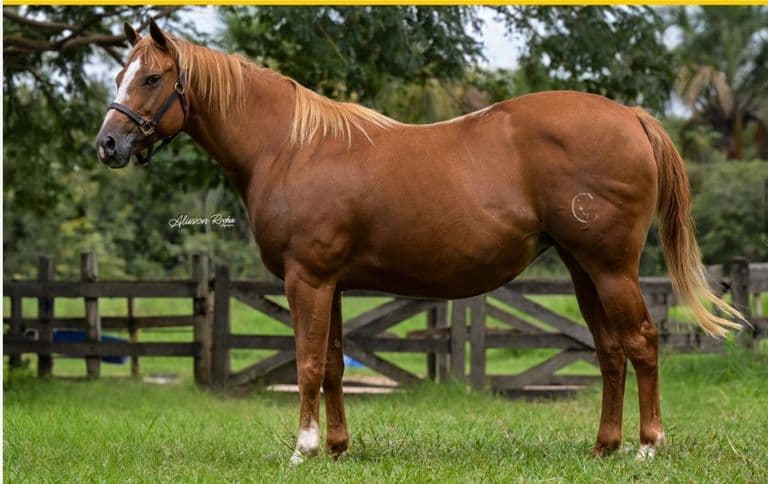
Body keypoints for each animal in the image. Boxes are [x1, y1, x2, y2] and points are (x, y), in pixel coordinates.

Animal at [96, 21, 742, 463]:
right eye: (120, 75)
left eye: (151, 77)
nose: (108, 144)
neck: (290, 146)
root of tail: (630, 116)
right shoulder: (330, 284)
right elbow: (333, 364)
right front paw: (338, 448)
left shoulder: (307, 278)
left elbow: (306, 363)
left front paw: (304, 448)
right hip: (584, 269)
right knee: (609, 351)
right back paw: (605, 446)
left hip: (611, 268)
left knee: (642, 342)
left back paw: (648, 446)